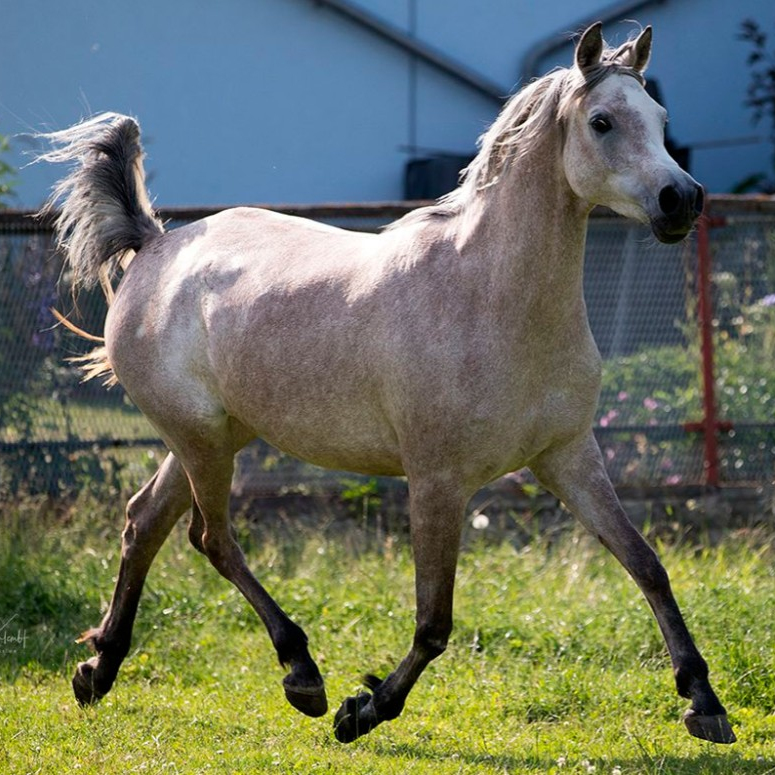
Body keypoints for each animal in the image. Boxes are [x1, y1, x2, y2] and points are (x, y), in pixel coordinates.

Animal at [38, 23, 735, 744]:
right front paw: (364, 709)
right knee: (212, 538)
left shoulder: (568, 455)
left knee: (144, 521)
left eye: (659, 119)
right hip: (200, 439)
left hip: (214, 436)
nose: (681, 200)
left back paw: (98, 670)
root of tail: (154, 246)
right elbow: (434, 622)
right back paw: (301, 673)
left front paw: (703, 700)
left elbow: (646, 564)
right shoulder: (437, 480)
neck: (489, 298)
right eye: (601, 122)